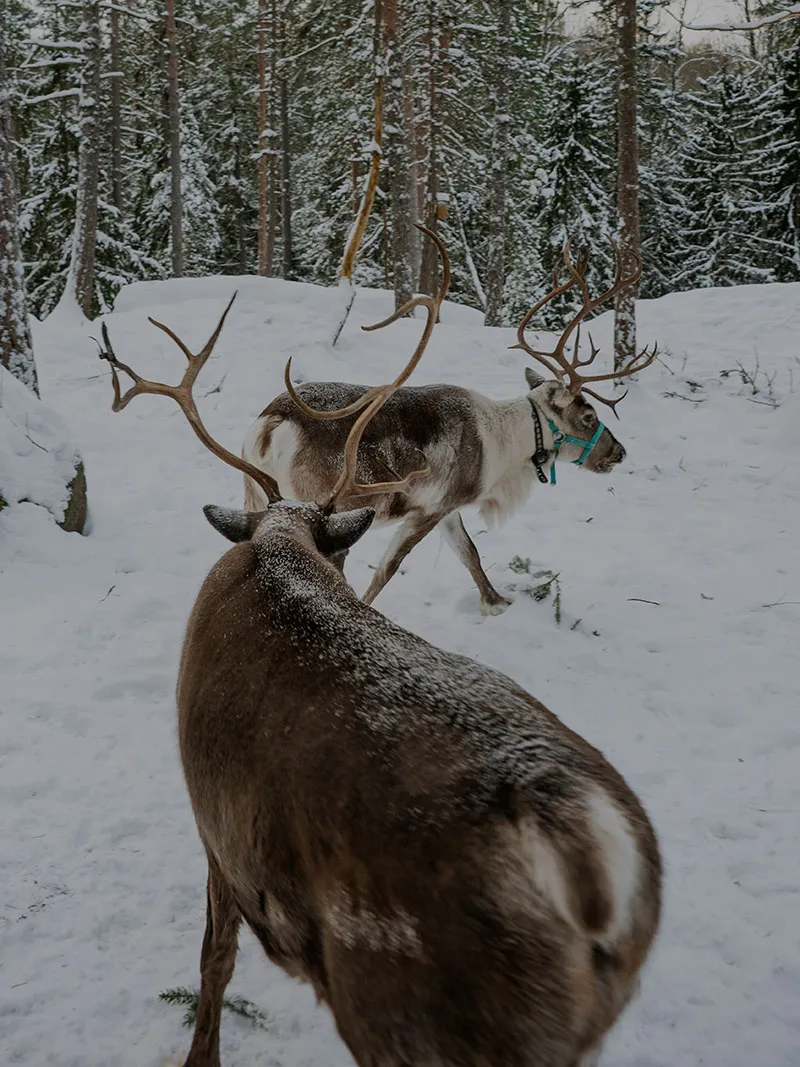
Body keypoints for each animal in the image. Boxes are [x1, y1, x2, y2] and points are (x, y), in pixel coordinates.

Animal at [241, 226, 657, 615]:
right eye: (588, 415)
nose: (619, 452)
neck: (506, 447)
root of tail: (271, 423)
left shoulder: (449, 508)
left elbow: (469, 552)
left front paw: (495, 602)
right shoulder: (429, 508)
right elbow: (387, 570)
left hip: (256, 493)